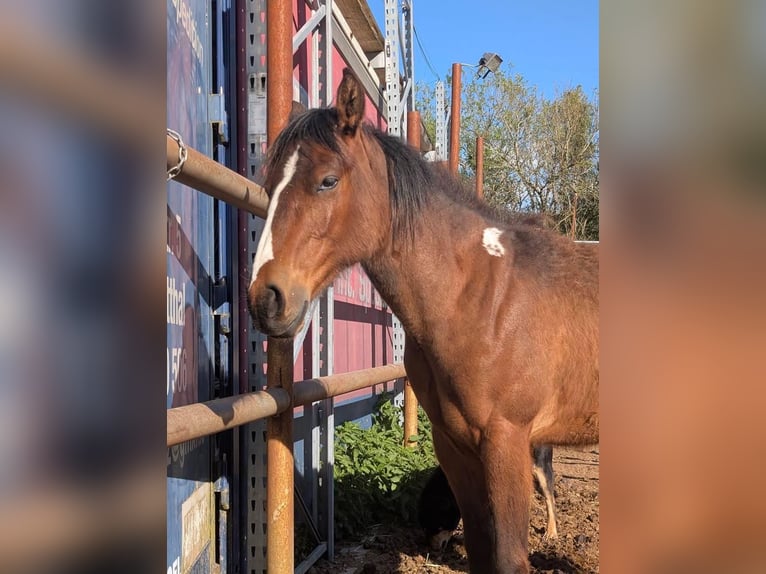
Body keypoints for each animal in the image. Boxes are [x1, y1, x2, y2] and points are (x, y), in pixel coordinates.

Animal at [247, 68, 599, 573]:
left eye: (328, 180)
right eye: (269, 183)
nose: (266, 299)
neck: (478, 298)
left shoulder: (507, 442)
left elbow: (509, 558)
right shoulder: (457, 448)